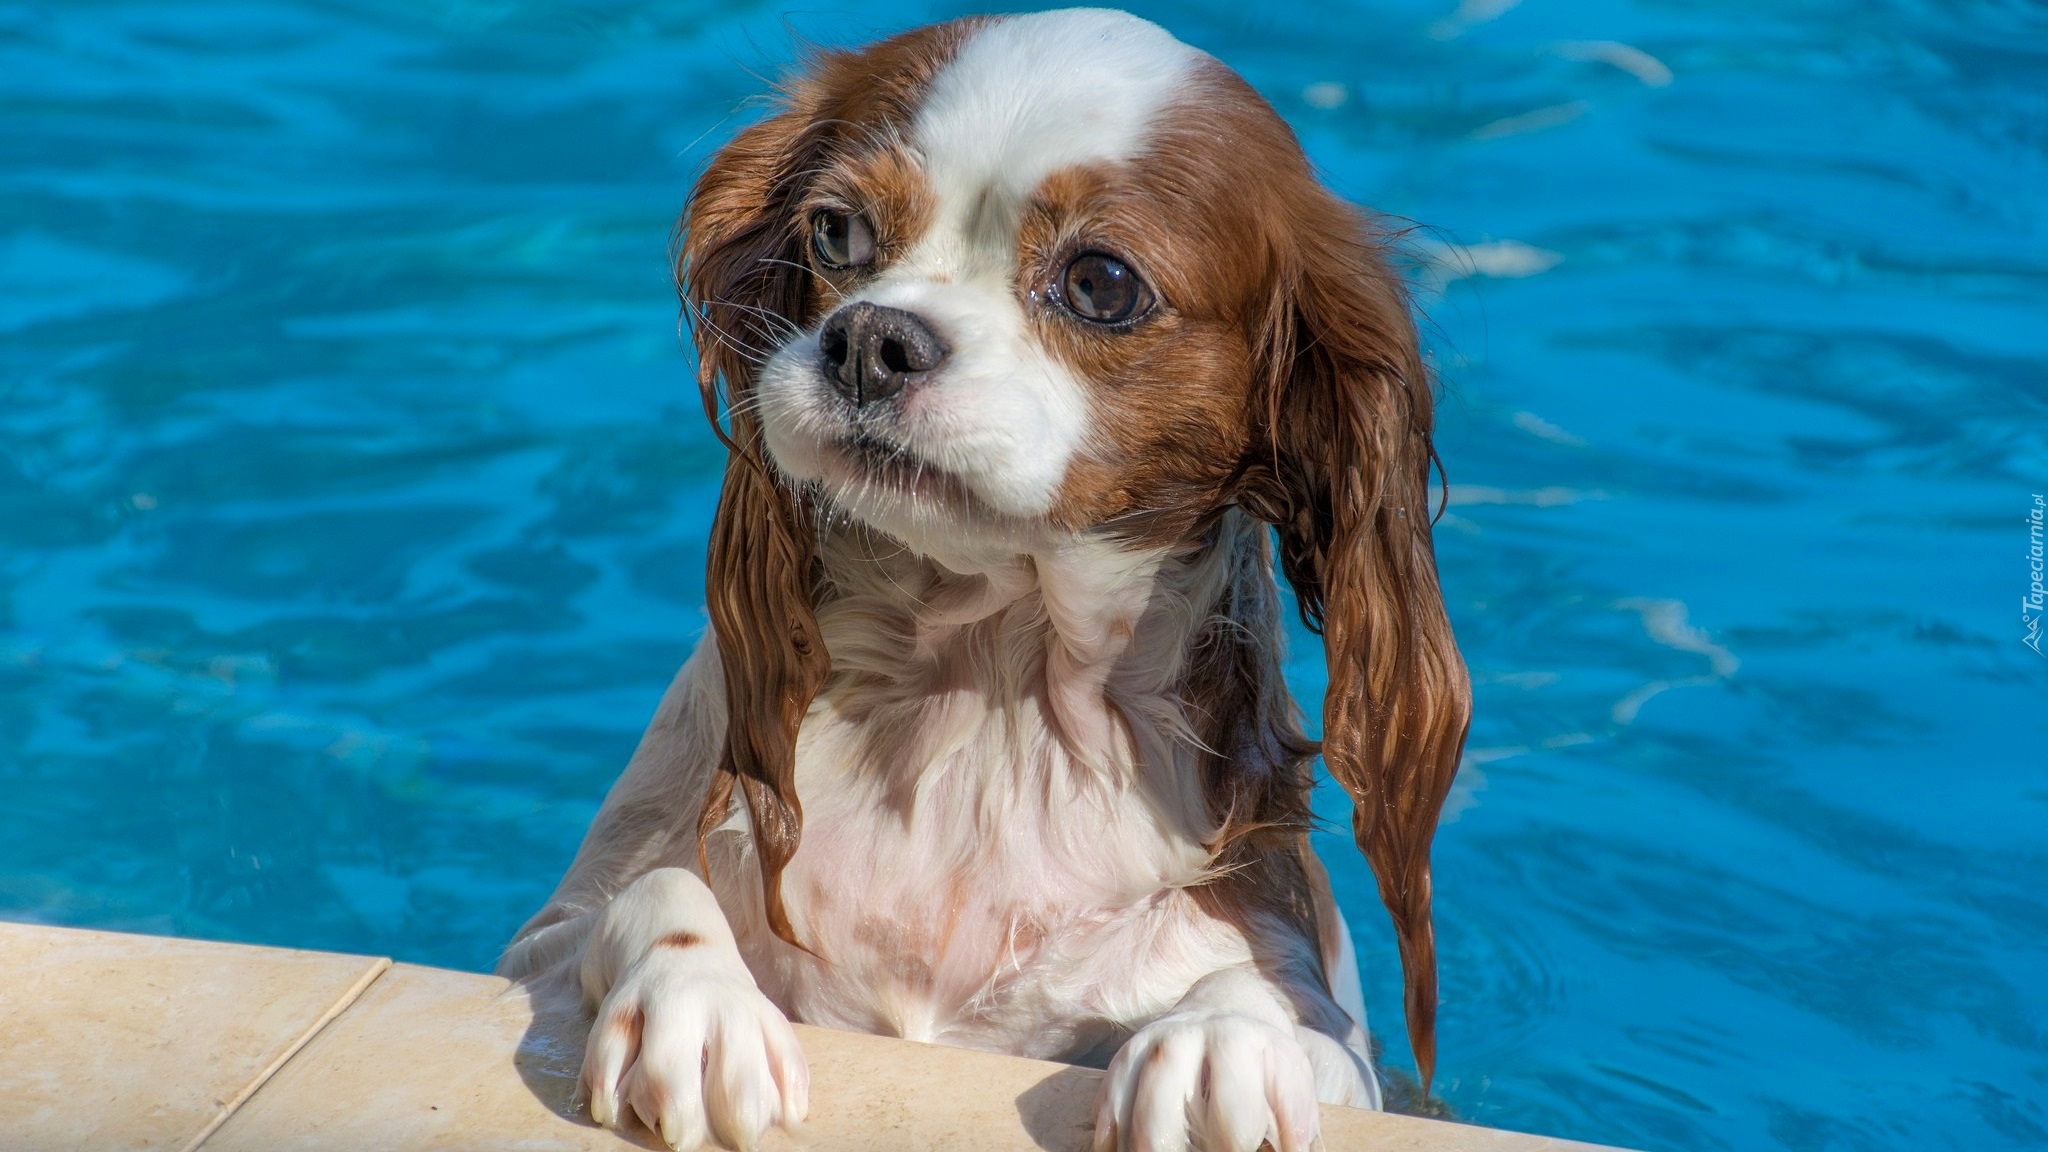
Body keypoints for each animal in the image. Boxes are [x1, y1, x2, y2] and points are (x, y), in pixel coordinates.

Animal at [503, 11, 1474, 1147]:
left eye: (1100, 284)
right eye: (835, 233)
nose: (871, 340)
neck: (984, 679)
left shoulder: (1336, 1038)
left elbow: (1262, 996)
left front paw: (1219, 1042)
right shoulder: (544, 944)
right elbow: (650, 890)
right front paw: (694, 1002)